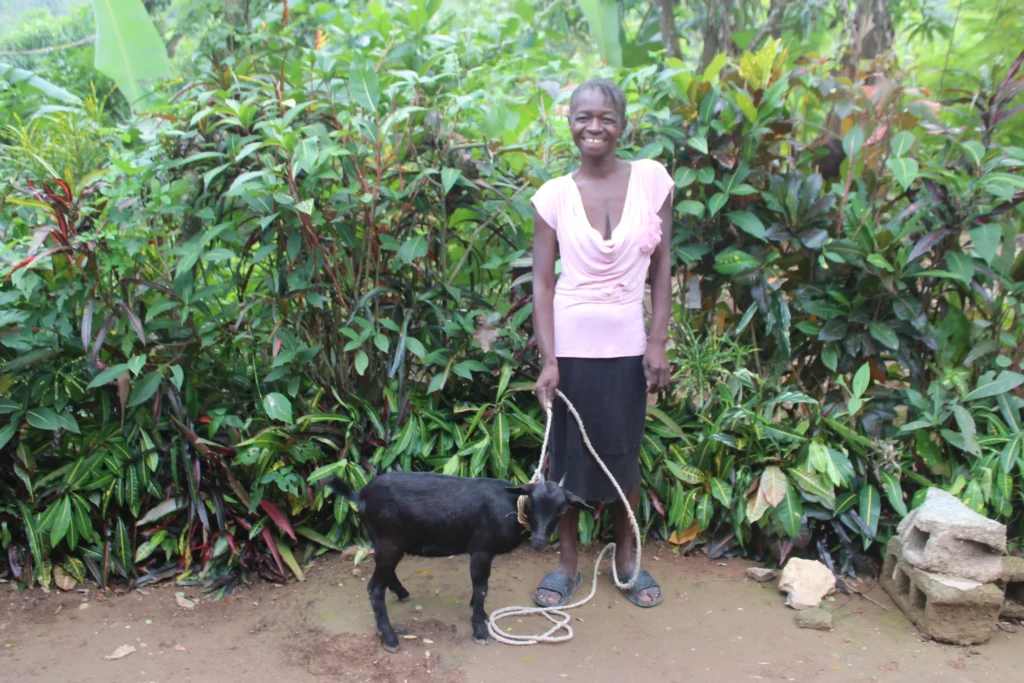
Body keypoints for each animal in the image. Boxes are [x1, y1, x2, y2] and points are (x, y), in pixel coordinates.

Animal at [327, 471, 589, 652]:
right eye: (532, 503)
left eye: (562, 510)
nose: (539, 541)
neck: (511, 507)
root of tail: (361, 494)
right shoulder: (481, 549)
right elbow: (482, 587)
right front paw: (480, 629)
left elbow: (480, 589)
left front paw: (481, 615)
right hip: (389, 541)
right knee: (374, 588)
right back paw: (390, 637)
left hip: (383, 540)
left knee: (384, 574)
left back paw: (401, 593)